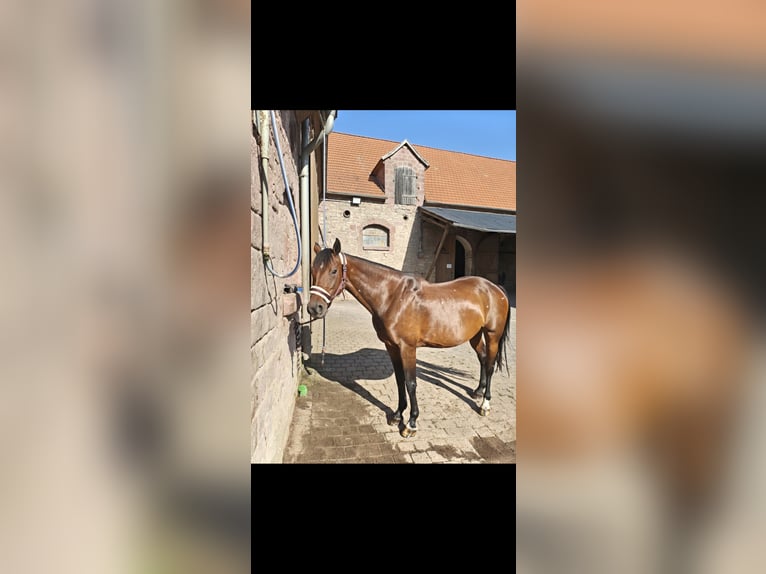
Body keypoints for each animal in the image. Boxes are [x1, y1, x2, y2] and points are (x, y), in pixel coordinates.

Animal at [307, 238, 512, 438]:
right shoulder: (391, 346)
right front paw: (398, 415)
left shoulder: (408, 347)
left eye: (333, 271)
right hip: (475, 335)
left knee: (490, 365)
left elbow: (410, 383)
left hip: (492, 335)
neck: (393, 297)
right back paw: (477, 392)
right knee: (483, 358)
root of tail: (495, 288)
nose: (314, 308)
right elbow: (399, 380)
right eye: (313, 270)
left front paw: (411, 424)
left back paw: (485, 404)